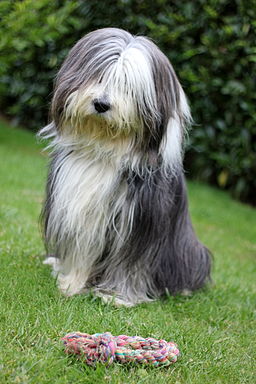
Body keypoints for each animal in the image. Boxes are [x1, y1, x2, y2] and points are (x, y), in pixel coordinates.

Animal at [40, 27, 211, 306]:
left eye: (128, 87)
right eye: (99, 75)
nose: (101, 104)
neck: (106, 150)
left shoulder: (140, 222)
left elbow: (131, 264)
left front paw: (116, 296)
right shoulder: (78, 209)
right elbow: (81, 252)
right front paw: (72, 283)